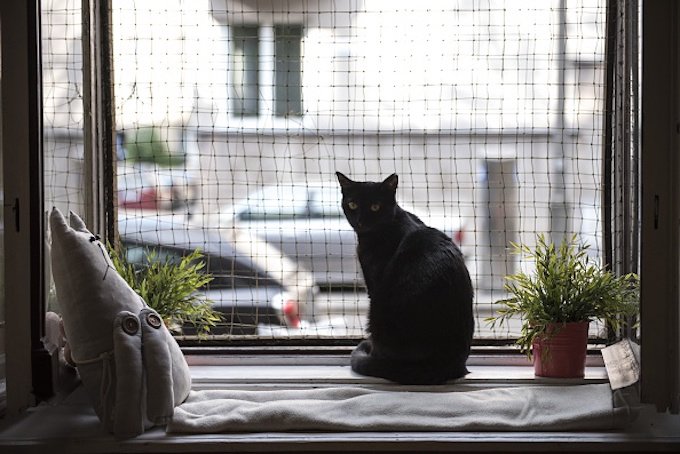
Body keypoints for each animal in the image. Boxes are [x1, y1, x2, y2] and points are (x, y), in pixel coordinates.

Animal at [338, 172, 476, 384]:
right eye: (352, 204)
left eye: (375, 206)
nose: (360, 221)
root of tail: (448, 365)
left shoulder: (374, 284)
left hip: (377, 311)